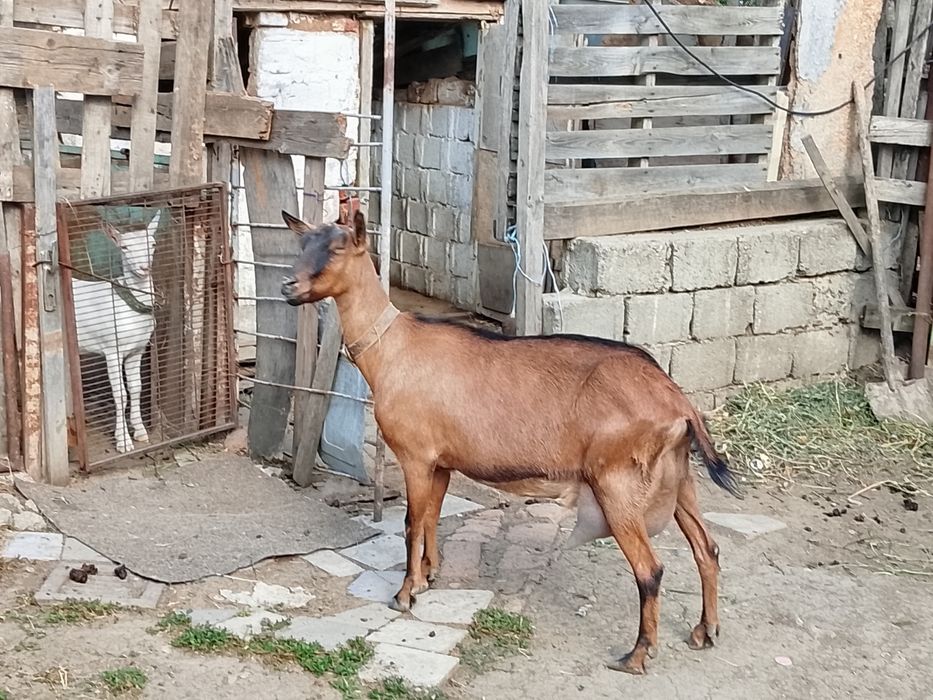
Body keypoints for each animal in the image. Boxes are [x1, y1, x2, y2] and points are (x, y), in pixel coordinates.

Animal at [72, 212, 160, 453]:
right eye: (124, 247)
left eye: (152, 243)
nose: (143, 268)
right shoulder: (112, 348)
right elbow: (120, 394)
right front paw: (123, 442)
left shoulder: (137, 349)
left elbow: (136, 388)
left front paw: (140, 432)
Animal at [280, 210, 740, 675]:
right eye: (301, 243)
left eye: (337, 248)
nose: (288, 287)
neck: (391, 349)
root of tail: (676, 400)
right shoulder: (442, 460)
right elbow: (432, 517)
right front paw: (429, 575)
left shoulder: (415, 455)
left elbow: (411, 523)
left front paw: (405, 594)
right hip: (679, 477)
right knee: (708, 548)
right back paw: (706, 631)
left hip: (618, 482)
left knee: (651, 569)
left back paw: (638, 654)